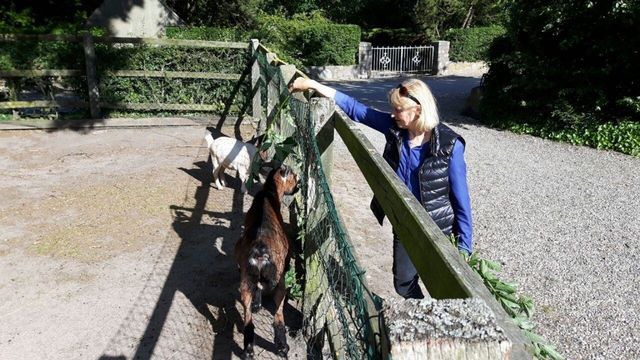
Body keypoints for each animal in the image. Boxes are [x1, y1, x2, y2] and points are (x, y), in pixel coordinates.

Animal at [235, 165, 300, 358]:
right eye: (295, 177)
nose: (297, 188)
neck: (269, 193)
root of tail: (260, 252)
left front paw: (257, 303)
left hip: (245, 279)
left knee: (248, 317)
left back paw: (249, 349)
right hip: (280, 281)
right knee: (278, 315)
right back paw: (282, 346)